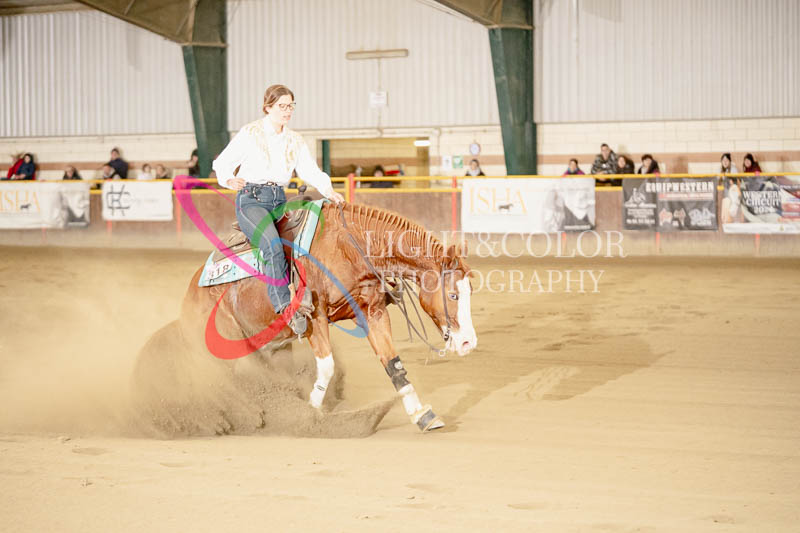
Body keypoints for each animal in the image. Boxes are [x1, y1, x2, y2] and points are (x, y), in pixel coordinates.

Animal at [177, 201, 478, 432]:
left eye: (470, 291)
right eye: (453, 295)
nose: (468, 343)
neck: (348, 247)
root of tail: (193, 290)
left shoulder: (373, 312)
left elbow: (393, 364)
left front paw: (423, 415)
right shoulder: (315, 319)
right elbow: (327, 367)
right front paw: (309, 417)